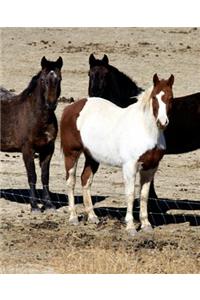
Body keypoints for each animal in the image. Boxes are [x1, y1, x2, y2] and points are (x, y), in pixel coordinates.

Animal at [0, 56, 63, 211]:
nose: (51, 104)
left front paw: (49, 204)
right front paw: (34, 206)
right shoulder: (27, 149)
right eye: (43, 80)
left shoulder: (48, 149)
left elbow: (45, 176)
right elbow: (32, 176)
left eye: (59, 79)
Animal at [60, 74, 174, 236]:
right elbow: (131, 195)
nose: (162, 122)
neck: (145, 129)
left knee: (85, 180)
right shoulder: (130, 167)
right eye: (154, 97)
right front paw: (131, 227)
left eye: (171, 98)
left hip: (92, 157)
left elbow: (144, 196)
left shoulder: (150, 168)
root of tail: (70, 108)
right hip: (71, 154)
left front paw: (146, 225)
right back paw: (73, 217)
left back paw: (93, 217)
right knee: (71, 182)